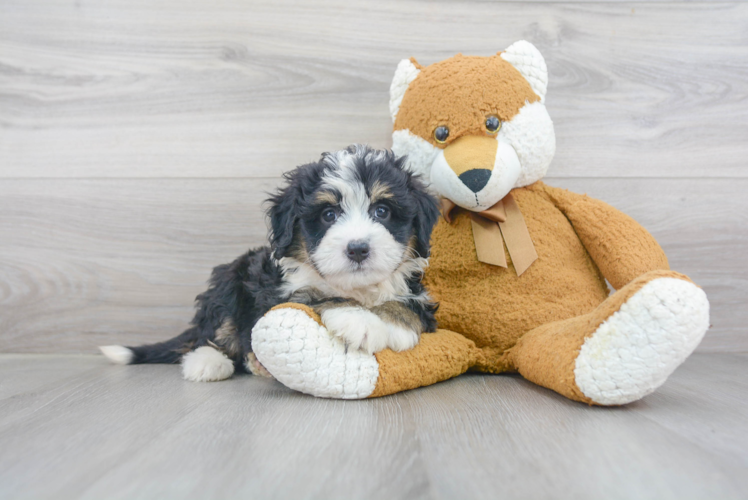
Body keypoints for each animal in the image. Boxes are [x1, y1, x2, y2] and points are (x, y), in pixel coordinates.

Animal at [98, 145, 438, 382]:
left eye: (382, 211)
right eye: (328, 215)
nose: (357, 249)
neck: (356, 289)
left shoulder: (417, 291)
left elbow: (409, 306)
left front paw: (392, 323)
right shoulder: (274, 292)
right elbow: (314, 297)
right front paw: (360, 321)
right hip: (229, 281)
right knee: (211, 332)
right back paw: (209, 363)